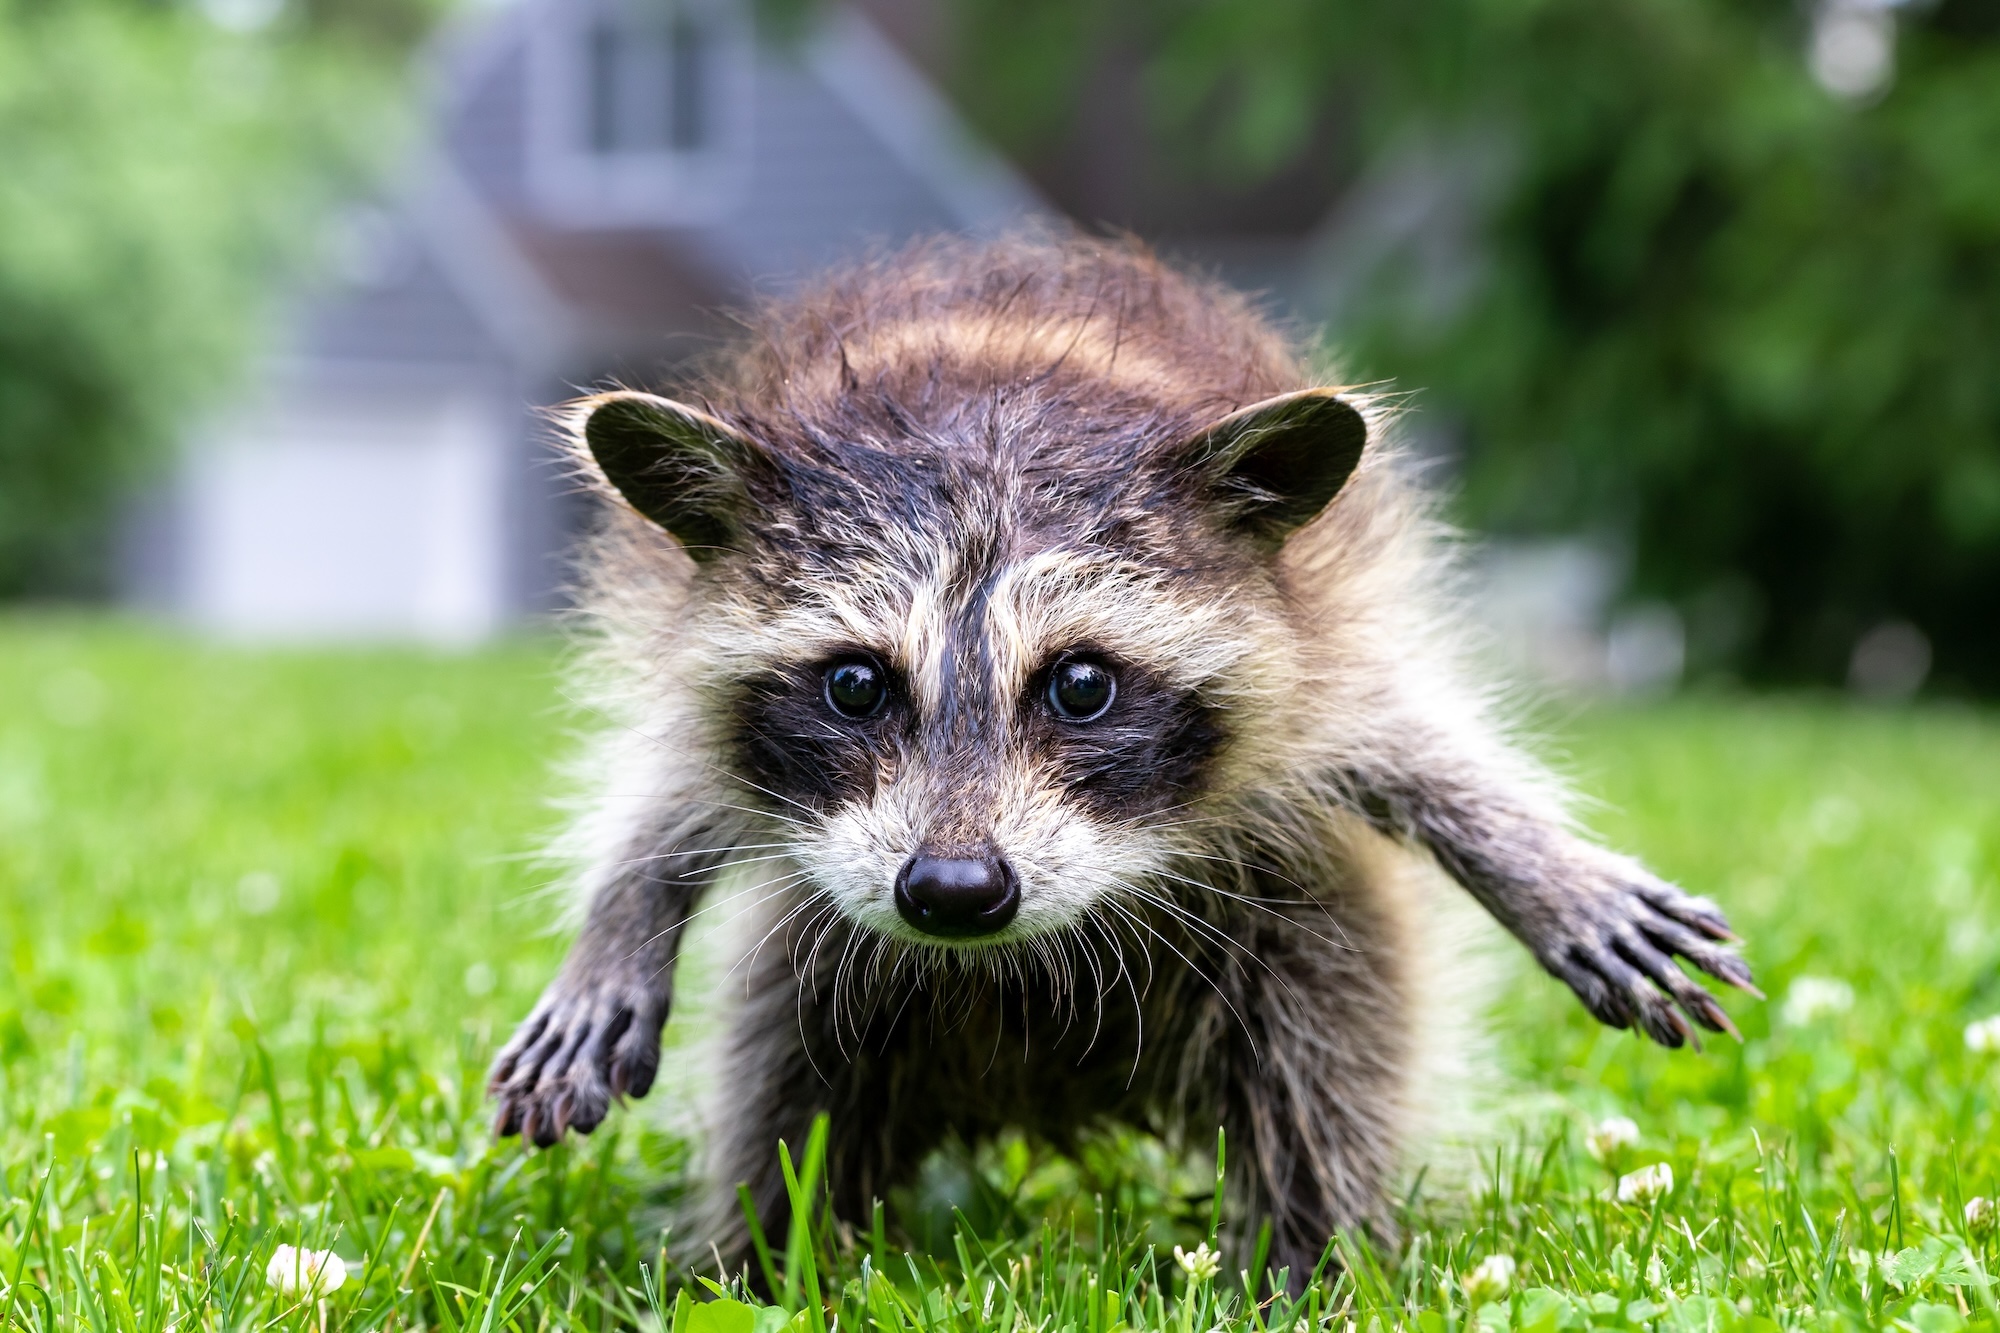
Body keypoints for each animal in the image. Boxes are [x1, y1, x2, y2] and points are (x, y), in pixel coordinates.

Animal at [488, 233, 1755, 1281]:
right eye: (853, 684)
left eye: (1081, 684)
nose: (954, 892)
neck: (991, 411)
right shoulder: (679, 615)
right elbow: (669, 789)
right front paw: (622, 916)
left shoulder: (1325, 617)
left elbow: (1413, 742)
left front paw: (1536, 864)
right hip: (831, 976)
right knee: (787, 1085)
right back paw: (750, 1266)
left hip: (1300, 929)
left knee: (1325, 1071)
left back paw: (1303, 1266)